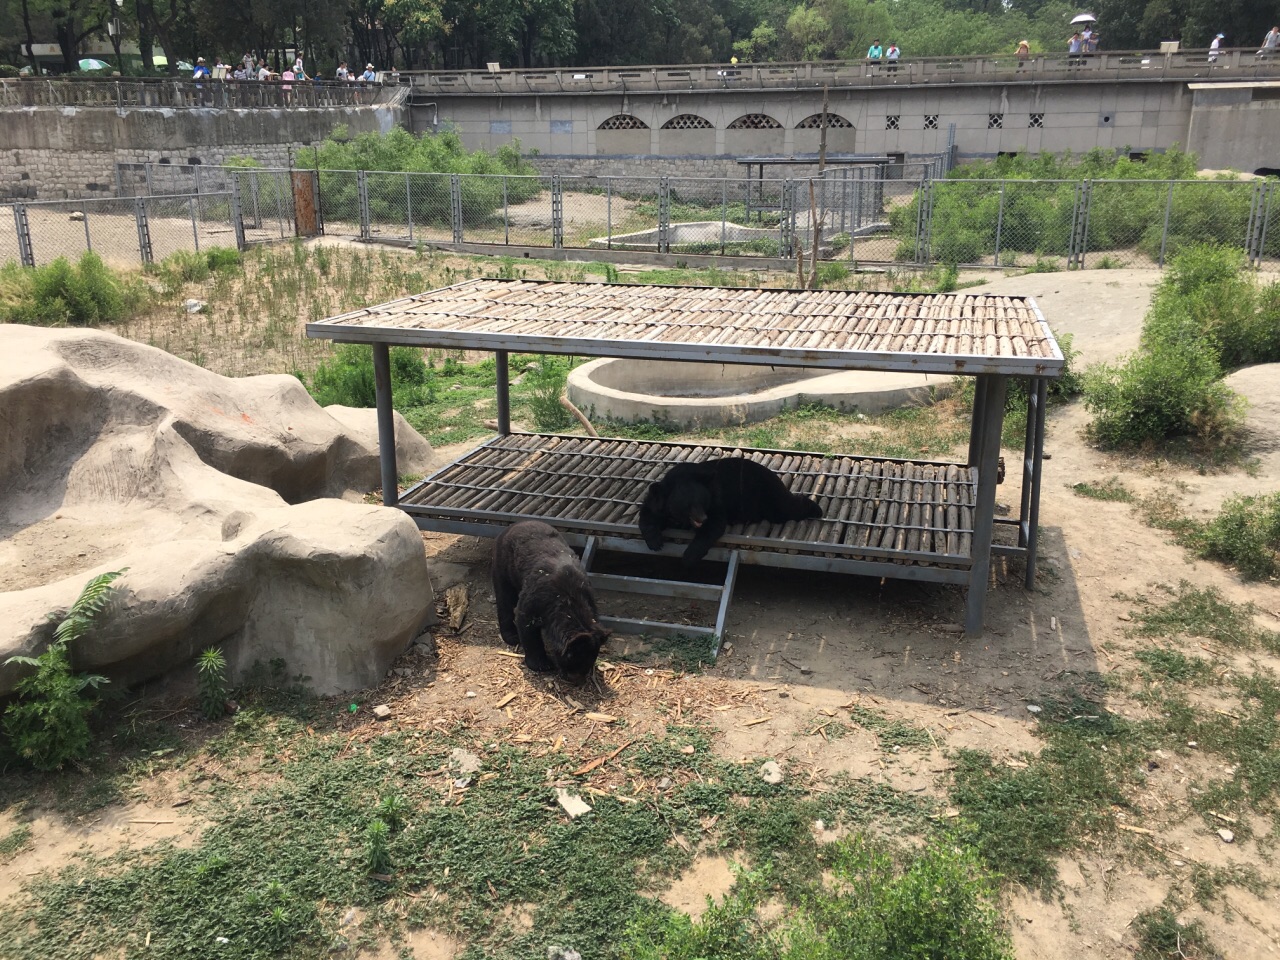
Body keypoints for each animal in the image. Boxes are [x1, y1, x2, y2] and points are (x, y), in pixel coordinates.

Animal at [488, 519, 609, 686]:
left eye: (591, 660)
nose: (576, 680)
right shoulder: (537, 598)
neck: (569, 601)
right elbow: (525, 622)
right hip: (502, 564)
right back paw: (511, 637)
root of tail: (514, 525)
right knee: (504, 598)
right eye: (571, 659)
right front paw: (541, 664)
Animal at [637, 455, 819, 563]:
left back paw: (816, 509)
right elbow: (648, 514)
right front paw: (655, 542)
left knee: (788, 508)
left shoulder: (716, 499)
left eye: (701, 501)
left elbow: (714, 525)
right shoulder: (660, 498)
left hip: (767, 495)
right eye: (687, 505)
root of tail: (775, 476)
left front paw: (689, 555)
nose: (702, 518)